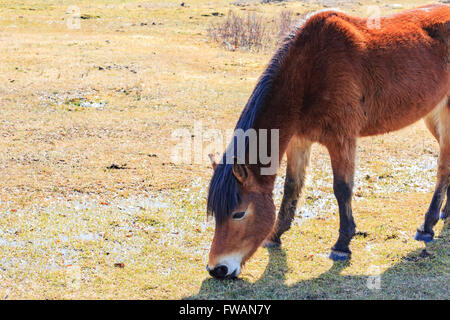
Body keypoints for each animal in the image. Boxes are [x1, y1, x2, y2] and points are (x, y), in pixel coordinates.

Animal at [206, 5, 448, 280]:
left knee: (443, 168)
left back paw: (427, 226)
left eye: (238, 213)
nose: (217, 269)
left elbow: (342, 188)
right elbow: (292, 187)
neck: (309, 70)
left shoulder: (342, 138)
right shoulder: (299, 140)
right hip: (433, 116)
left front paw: (342, 245)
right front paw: (276, 235)